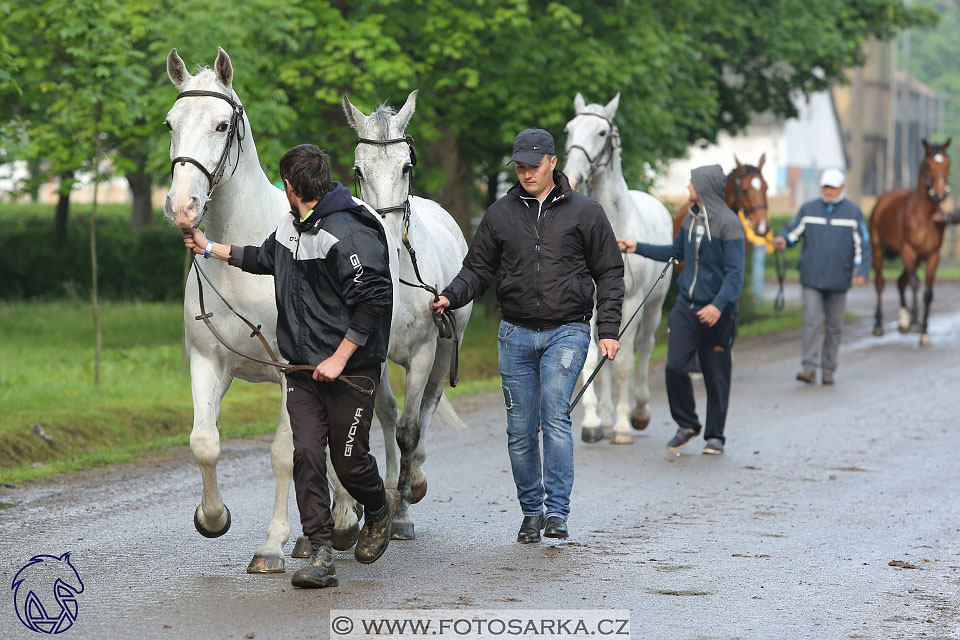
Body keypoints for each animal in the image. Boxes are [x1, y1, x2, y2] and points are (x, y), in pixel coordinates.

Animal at [560, 92, 672, 444]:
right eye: (569, 129)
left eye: (601, 133)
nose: (573, 175)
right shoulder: (589, 303)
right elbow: (590, 360)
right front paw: (593, 423)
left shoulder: (632, 301)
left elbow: (623, 364)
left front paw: (623, 426)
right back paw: (607, 418)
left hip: (653, 306)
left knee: (644, 349)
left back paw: (637, 413)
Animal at [872, 138, 952, 342]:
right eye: (928, 164)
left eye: (947, 163)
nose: (939, 194)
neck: (923, 216)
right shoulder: (908, 250)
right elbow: (915, 284)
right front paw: (916, 323)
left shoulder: (932, 255)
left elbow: (928, 293)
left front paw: (924, 331)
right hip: (878, 250)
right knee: (880, 283)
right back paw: (878, 325)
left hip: (916, 259)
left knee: (901, 281)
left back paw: (903, 322)